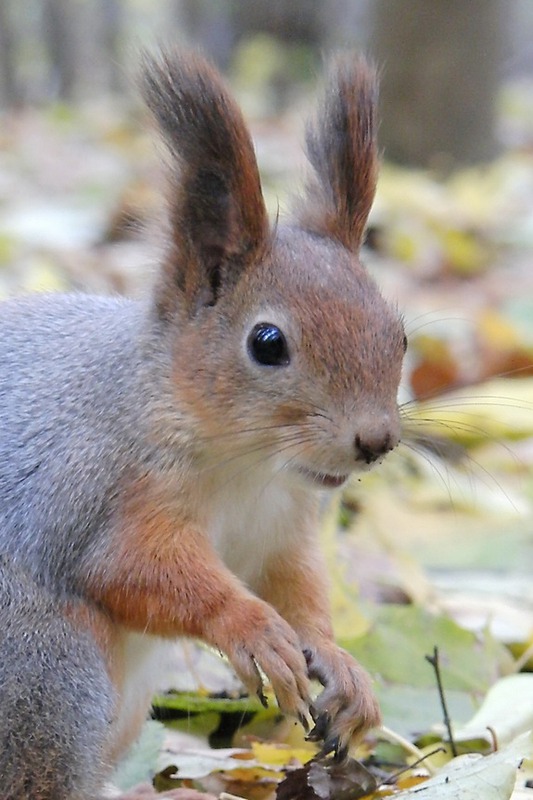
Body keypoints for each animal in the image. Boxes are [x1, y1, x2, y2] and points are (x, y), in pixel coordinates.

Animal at [0, 51, 404, 800]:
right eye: (267, 343)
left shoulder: (282, 529)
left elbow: (297, 588)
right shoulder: (108, 485)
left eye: (399, 334)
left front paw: (341, 665)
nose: (375, 441)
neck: (248, 467)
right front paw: (251, 628)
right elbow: (133, 568)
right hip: (49, 671)